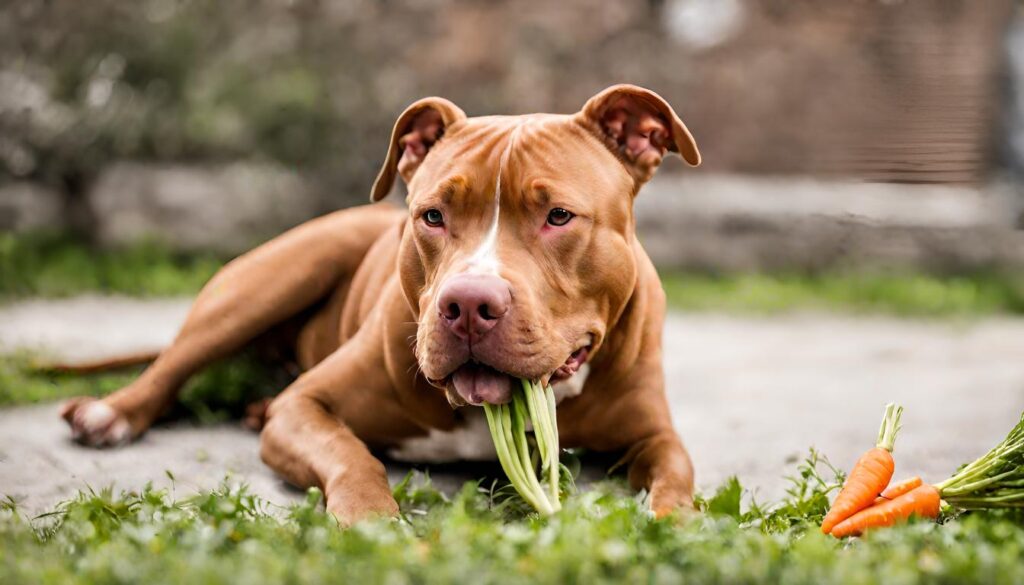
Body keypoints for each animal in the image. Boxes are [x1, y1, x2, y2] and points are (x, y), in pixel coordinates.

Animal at [59, 83, 704, 524]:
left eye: (560, 216)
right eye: (433, 216)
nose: (468, 304)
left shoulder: (655, 433)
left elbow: (678, 478)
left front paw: (667, 526)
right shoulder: (304, 407)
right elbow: (353, 457)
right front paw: (371, 522)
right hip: (275, 277)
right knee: (174, 363)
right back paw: (109, 414)